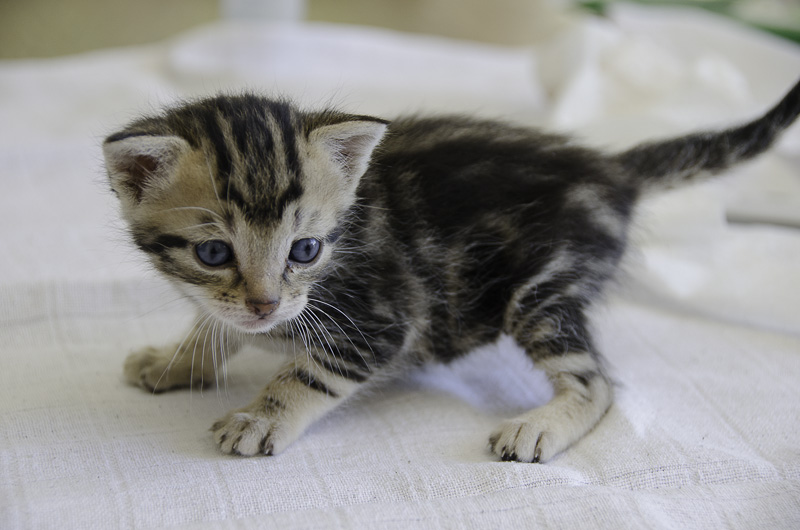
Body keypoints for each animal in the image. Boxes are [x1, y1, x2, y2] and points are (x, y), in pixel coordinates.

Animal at [103, 79, 796, 462]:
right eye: (213, 254)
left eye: (305, 250)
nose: (266, 306)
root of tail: (610, 171)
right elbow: (214, 323)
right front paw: (176, 360)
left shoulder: (382, 319)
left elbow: (308, 374)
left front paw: (261, 417)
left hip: (540, 291)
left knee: (597, 384)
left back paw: (539, 427)